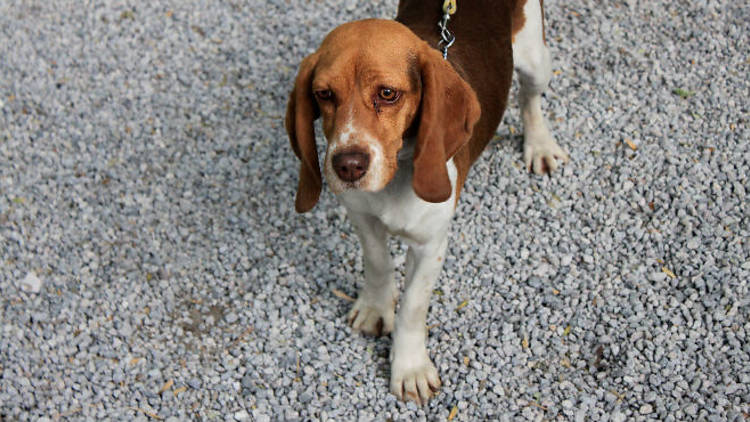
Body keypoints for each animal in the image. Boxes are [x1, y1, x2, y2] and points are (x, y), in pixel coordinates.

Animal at [284, 0, 568, 404]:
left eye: (388, 93)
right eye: (323, 94)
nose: (348, 166)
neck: (395, 176)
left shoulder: (430, 246)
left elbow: (412, 308)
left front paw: (409, 368)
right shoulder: (363, 219)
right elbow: (378, 265)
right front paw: (375, 308)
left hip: (536, 58)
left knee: (530, 98)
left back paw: (540, 144)